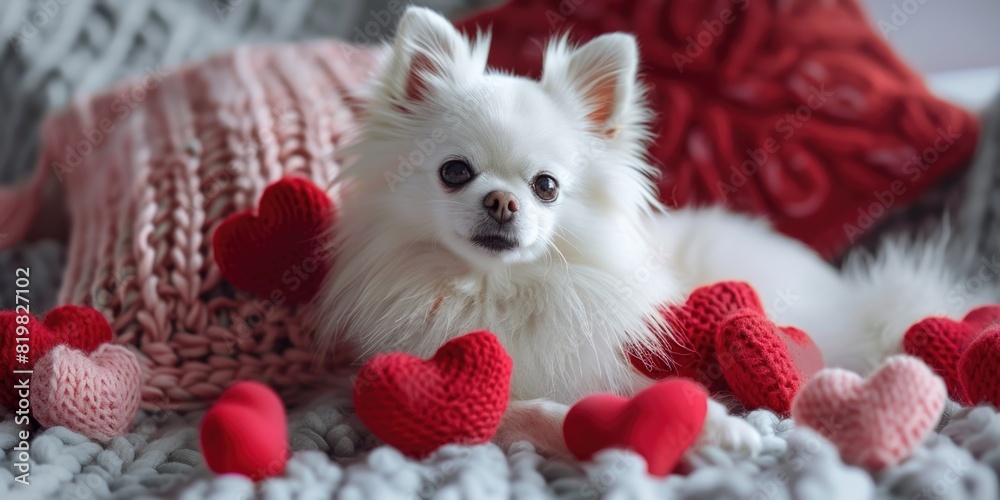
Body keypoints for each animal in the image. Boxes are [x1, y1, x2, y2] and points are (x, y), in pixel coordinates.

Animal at [310, 5, 976, 456]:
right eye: (454, 172)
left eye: (546, 186)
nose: (502, 201)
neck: (495, 289)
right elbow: (540, 412)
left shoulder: (609, 363)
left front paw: (718, 426)